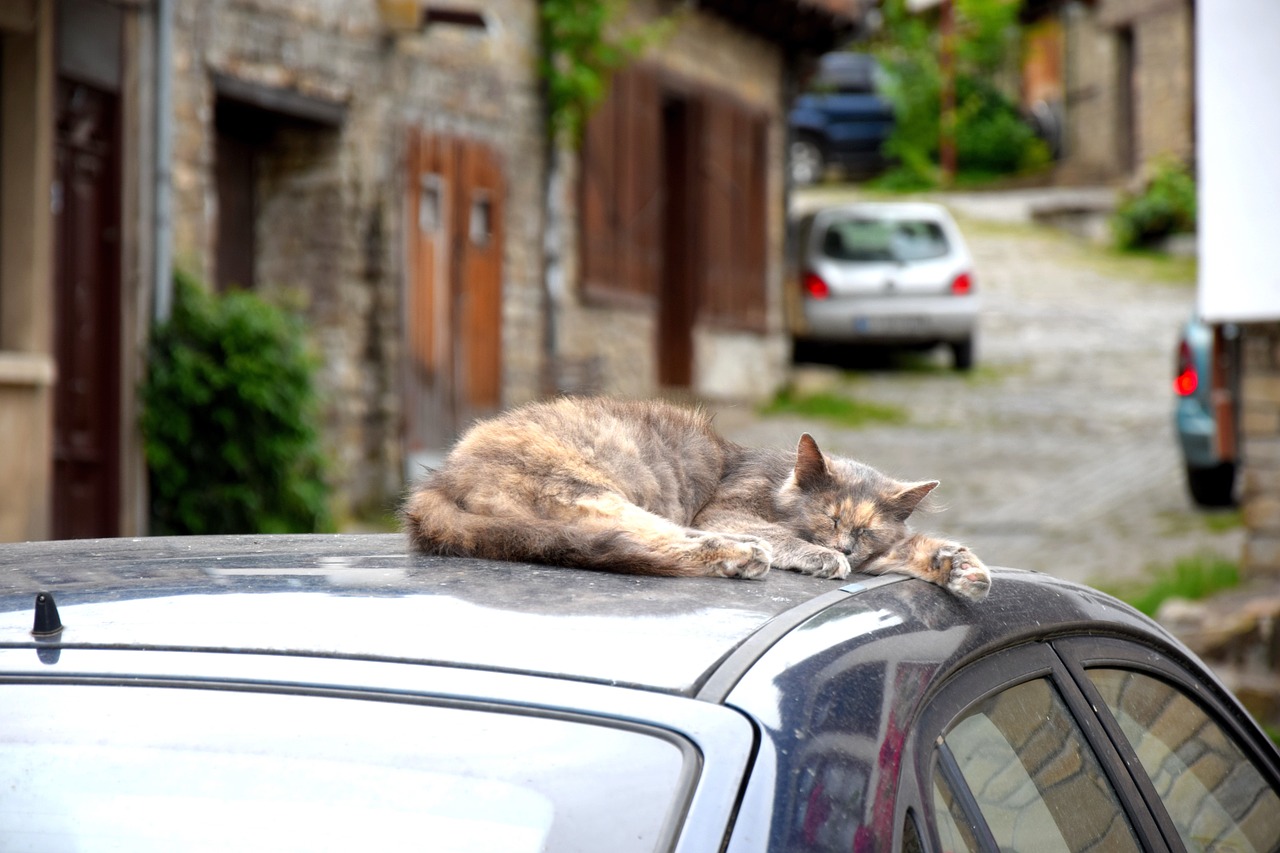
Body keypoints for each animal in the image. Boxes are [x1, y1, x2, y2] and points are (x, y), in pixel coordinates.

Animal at [399, 394, 988, 596]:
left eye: (864, 529)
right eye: (832, 518)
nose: (843, 547)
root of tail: (439, 480)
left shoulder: (882, 551)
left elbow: (913, 548)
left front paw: (962, 567)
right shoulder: (725, 507)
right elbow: (781, 534)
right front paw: (819, 557)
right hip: (591, 491)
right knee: (660, 541)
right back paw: (743, 556)